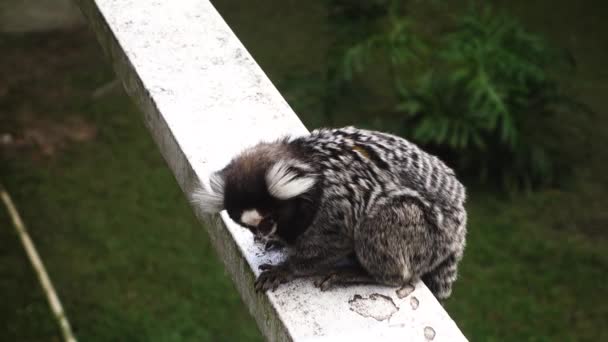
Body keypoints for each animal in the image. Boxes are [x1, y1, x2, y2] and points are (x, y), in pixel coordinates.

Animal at [192, 125, 468, 300]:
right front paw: (277, 242)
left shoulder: (333, 206)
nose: (262, 234)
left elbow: (335, 242)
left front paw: (286, 269)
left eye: (268, 221)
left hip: (427, 235)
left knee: (380, 224)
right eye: (250, 226)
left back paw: (360, 274)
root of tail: (457, 232)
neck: (308, 164)